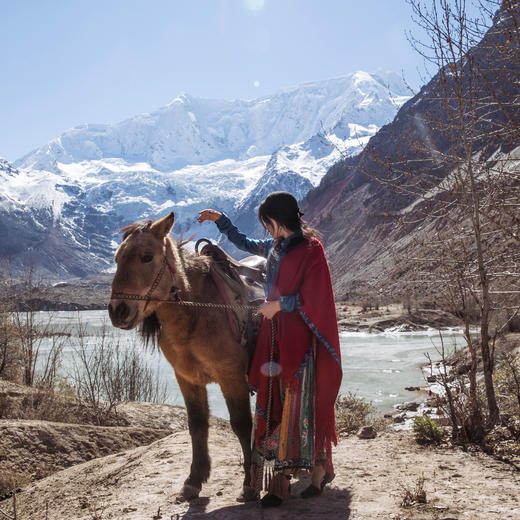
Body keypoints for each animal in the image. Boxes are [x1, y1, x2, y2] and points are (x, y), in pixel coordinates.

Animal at [108, 210, 258, 500]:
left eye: (147, 256)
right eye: (117, 258)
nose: (117, 311)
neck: (198, 311)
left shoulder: (232, 376)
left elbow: (242, 424)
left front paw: (249, 484)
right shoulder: (187, 378)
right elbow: (197, 424)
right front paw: (194, 480)